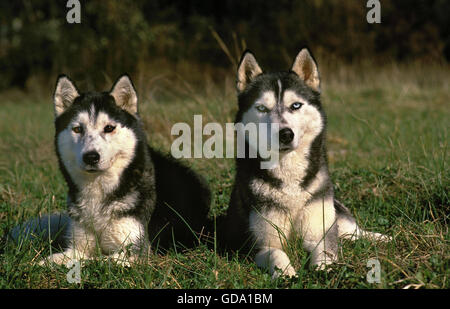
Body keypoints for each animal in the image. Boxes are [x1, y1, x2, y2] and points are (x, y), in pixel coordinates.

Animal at [37, 74, 211, 264]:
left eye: (109, 128)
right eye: (77, 129)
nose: (91, 157)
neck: (99, 194)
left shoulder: (134, 252)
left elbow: (93, 260)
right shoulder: (77, 247)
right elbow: (52, 260)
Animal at [219, 49, 390, 278]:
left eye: (296, 105)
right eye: (262, 108)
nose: (285, 134)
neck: (291, 181)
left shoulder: (322, 232)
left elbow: (325, 252)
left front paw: (324, 270)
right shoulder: (262, 245)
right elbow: (276, 254)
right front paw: (288, 275)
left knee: (355, 232)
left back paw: (383, 238)